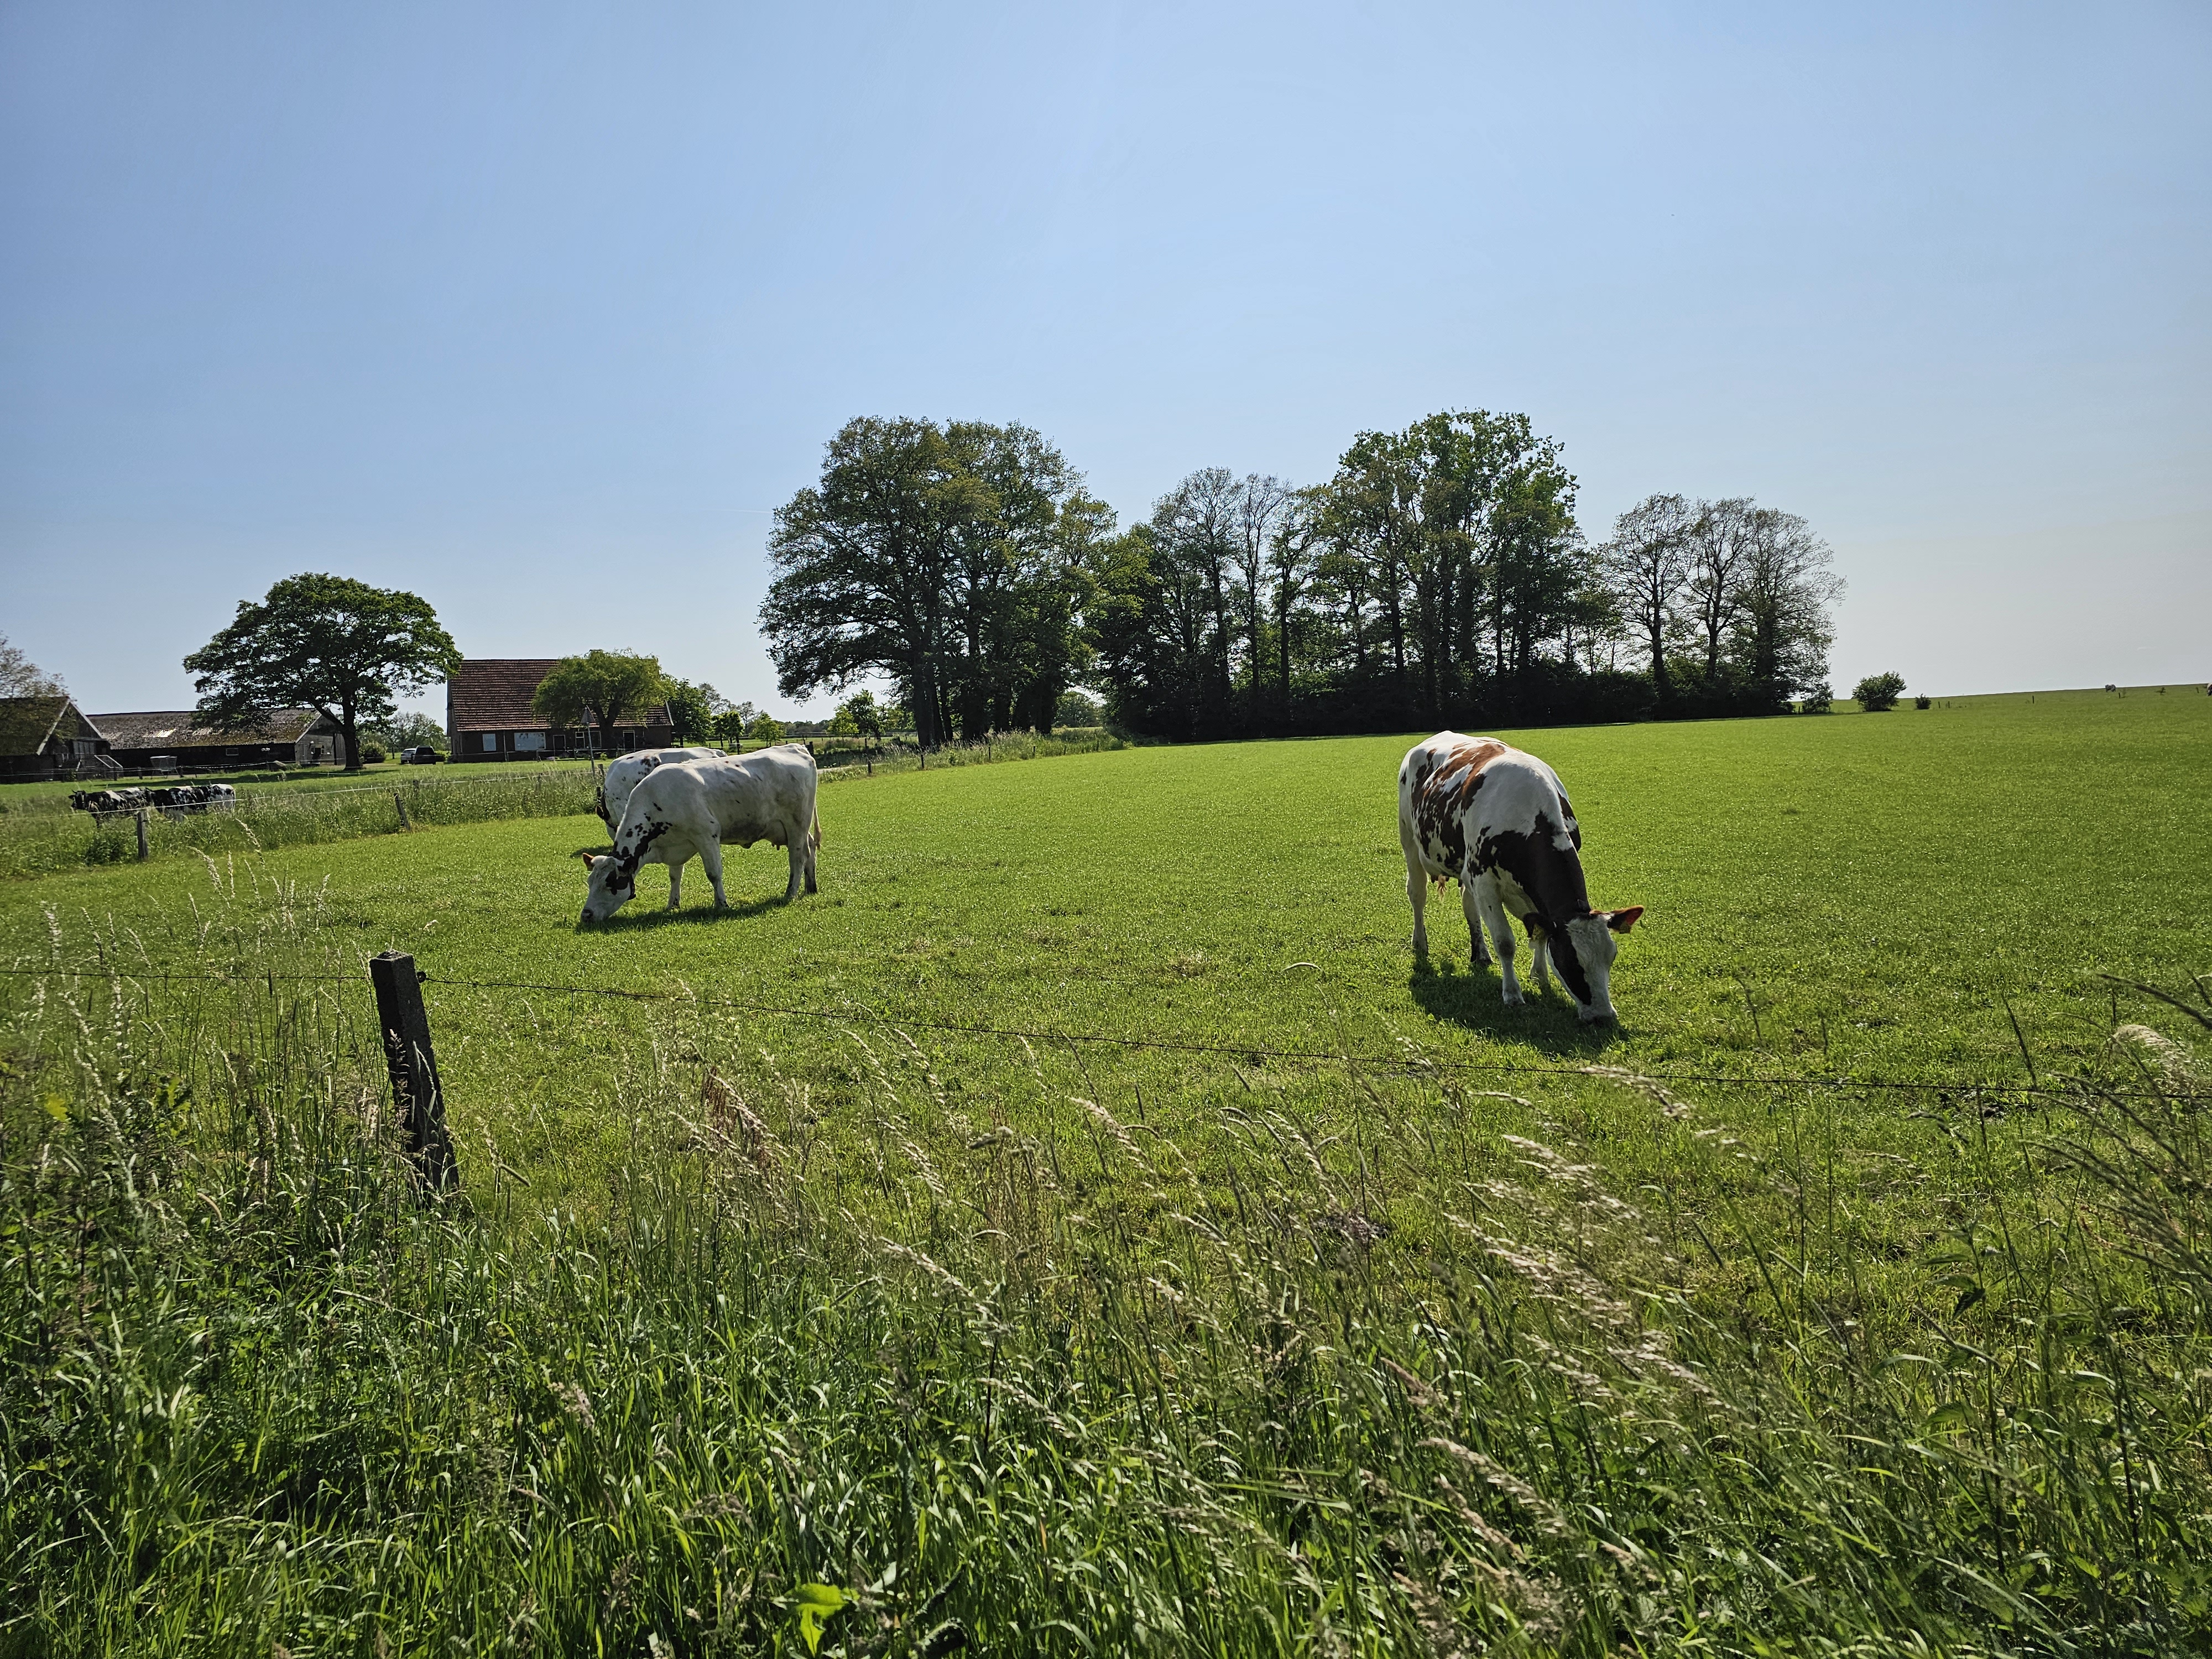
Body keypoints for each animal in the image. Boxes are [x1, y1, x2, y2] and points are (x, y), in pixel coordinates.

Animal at [1398, 734, 1646, 1022]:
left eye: (1611, 957)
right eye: (1572, 961)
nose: (1604, 1016)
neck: (1530, 817)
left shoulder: (1517, 891)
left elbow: (1540, 932)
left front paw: (1540, 976)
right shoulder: (1484, 880)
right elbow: (1505, 942)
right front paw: (1513, 995)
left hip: (1465, 869)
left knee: (1469, 906)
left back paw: (1481, 953)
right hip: (1410, 841)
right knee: (1417, 894)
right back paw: (1420, 943)